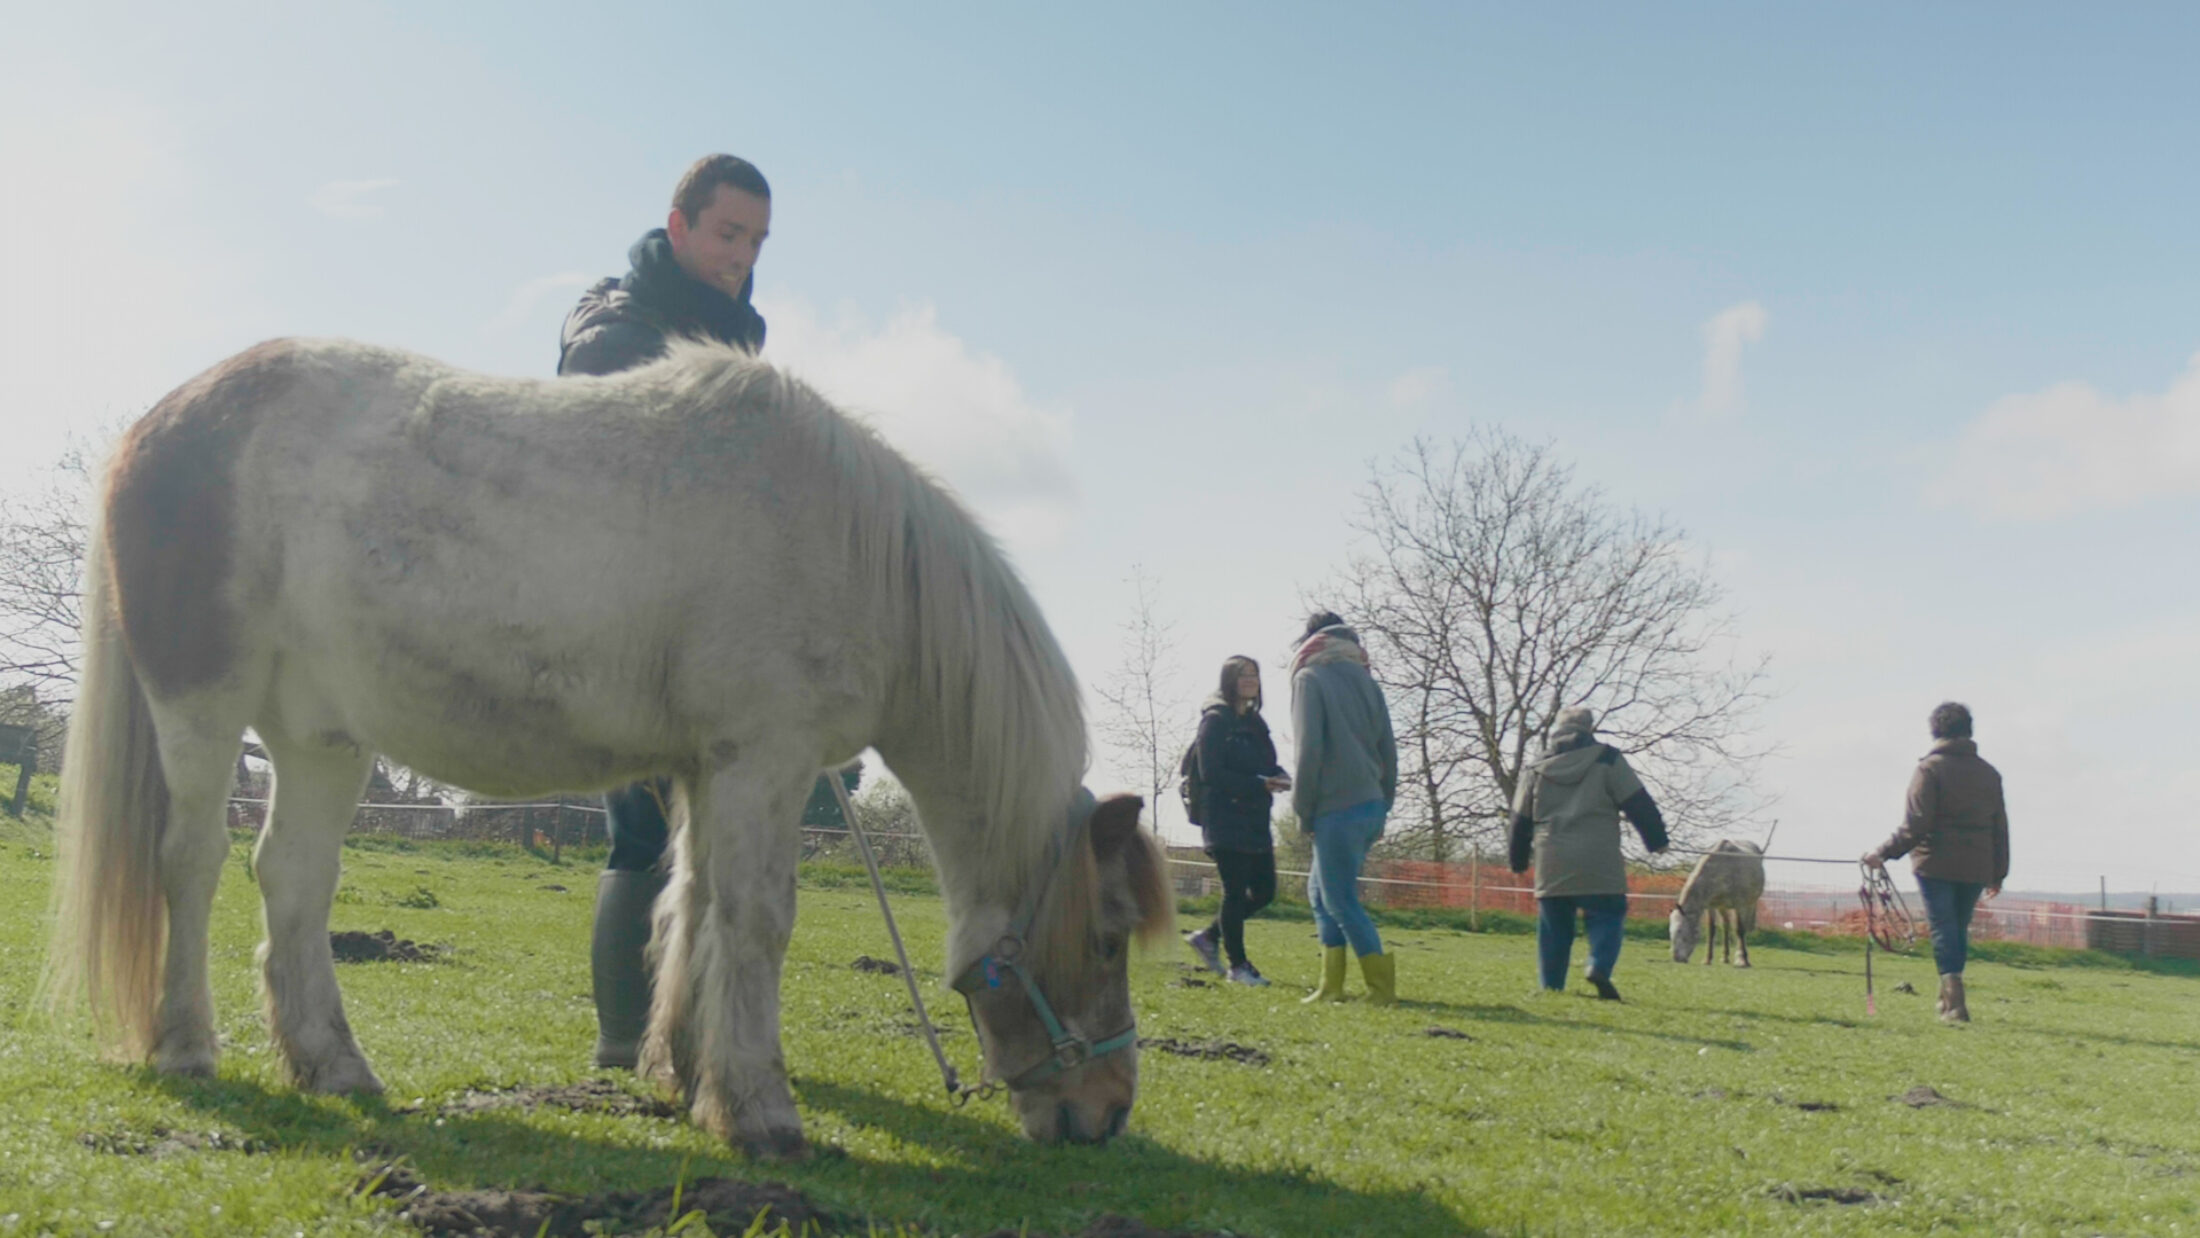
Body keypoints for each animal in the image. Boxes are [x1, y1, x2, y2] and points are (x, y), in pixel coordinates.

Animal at [45, 336, 1173, 1156]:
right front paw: (760, 1110)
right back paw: (186, 1045)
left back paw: (335, 1064)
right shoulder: (766, 757)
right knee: (191, 863)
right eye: (1107, 936)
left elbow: (696, 911)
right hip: (202, 709)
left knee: (292, 880)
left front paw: (688, 1076)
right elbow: (757, 920)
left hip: (317, 735)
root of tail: (156, 427)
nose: (1109, 1111)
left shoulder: (716, 768)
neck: (854, 548)